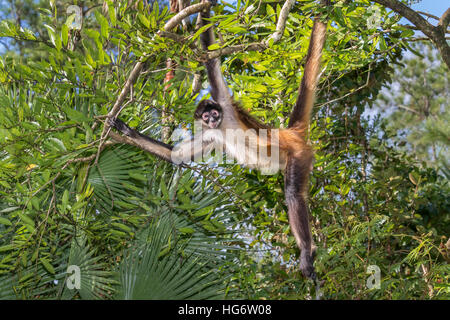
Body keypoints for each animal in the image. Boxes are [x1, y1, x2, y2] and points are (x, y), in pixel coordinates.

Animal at [110, 0, 328, 278]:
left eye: (214, 112)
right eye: (206, 116)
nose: (212, 119)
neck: (223, 126)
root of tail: (288, 133)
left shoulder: (224, 102)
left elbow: (211, 58)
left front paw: (204, 10)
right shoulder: (211, 135)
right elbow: (177, 155)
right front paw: (127, 130)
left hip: (298, 154)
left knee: (292, 194)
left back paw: (306, 251)